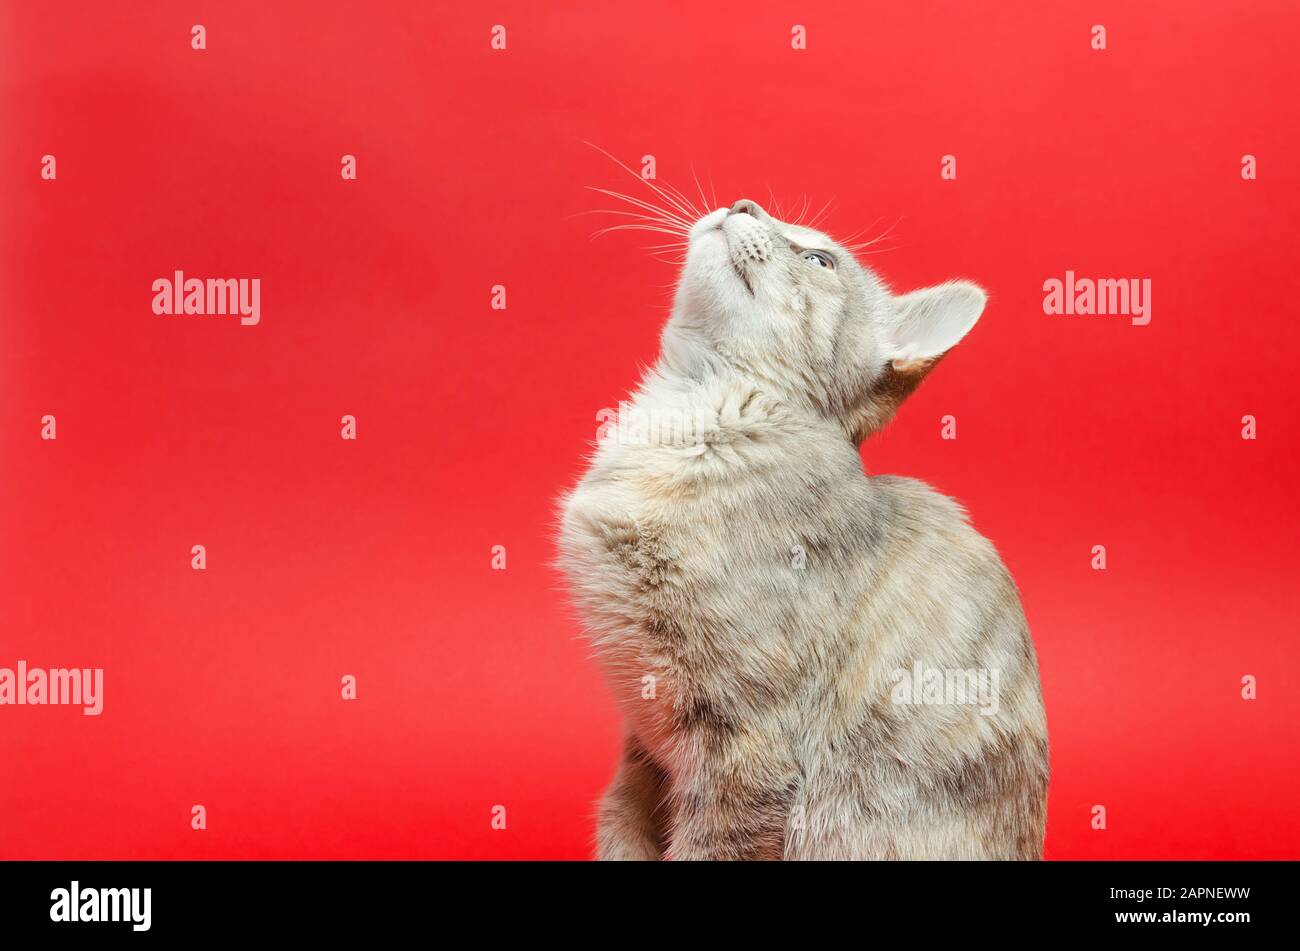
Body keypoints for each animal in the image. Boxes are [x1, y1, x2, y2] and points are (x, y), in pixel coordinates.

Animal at [556, 194, 1045, 862]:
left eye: (819, 259)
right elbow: (620, 830)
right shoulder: (641, 743)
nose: (744, 203)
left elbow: (712, 846)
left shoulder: (747, 746)